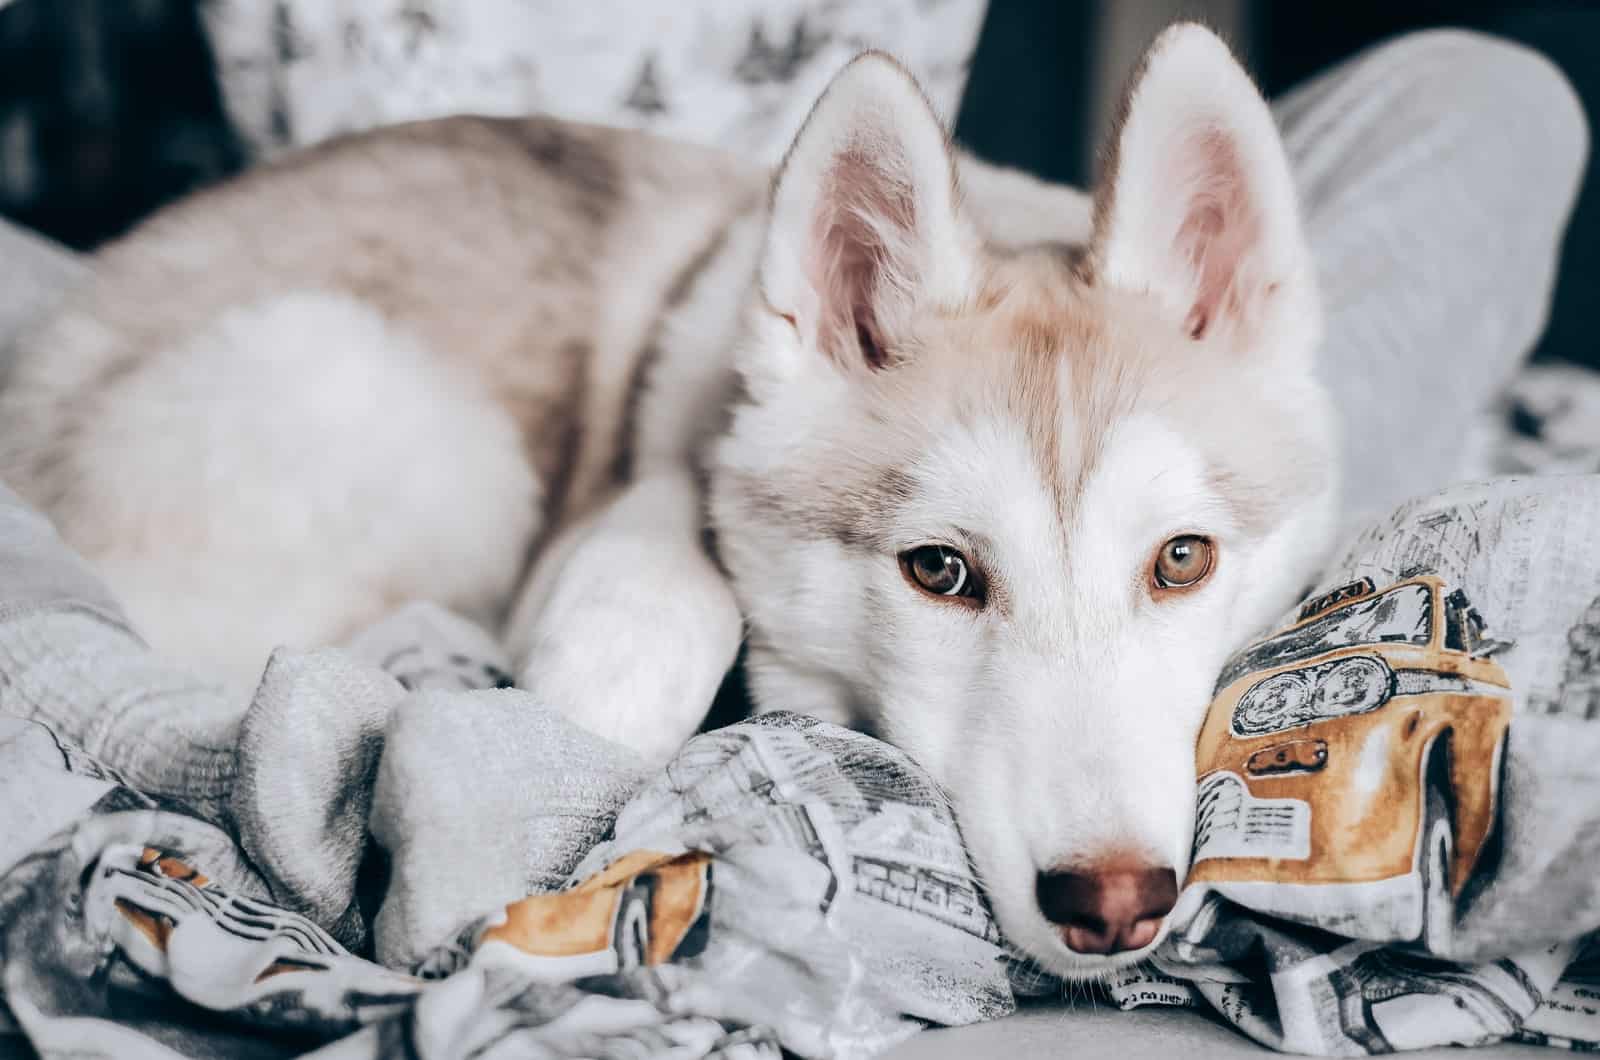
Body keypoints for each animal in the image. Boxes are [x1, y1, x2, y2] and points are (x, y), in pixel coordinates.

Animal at [0, 22, 1337, 979]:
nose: (1112, 904)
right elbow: (667, 607)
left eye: (1180, 560)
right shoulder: (619, 510)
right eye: (939, 571)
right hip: (391, 398)